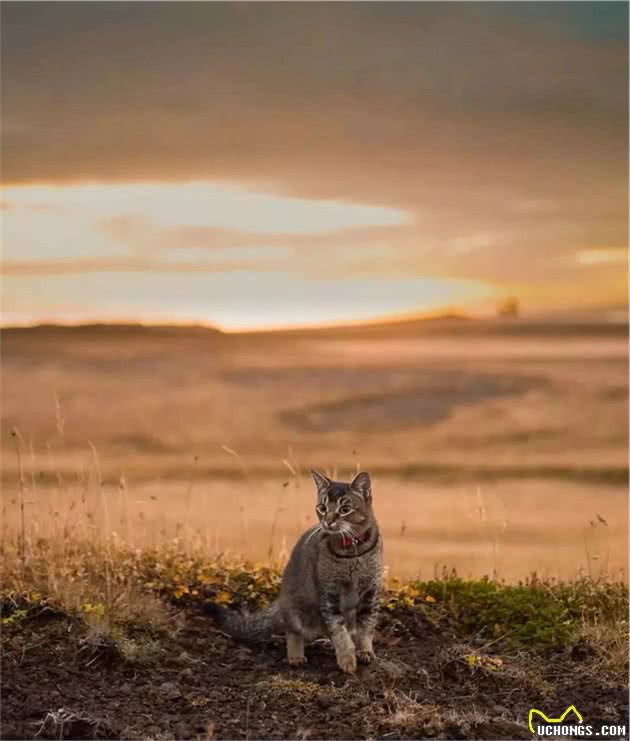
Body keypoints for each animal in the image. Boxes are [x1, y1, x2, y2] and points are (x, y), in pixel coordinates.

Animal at [206, 472, 386, 672]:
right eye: (322, 507)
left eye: (345, 509)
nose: (328, 521)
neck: (352, 552)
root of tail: (280, 601)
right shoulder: (329, 595)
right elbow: (339, 631)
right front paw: (347, 659)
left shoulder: (370, 592)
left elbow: (366, 628)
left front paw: (365, 651)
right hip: (296, 610)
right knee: (293, 631)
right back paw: (296, 656)